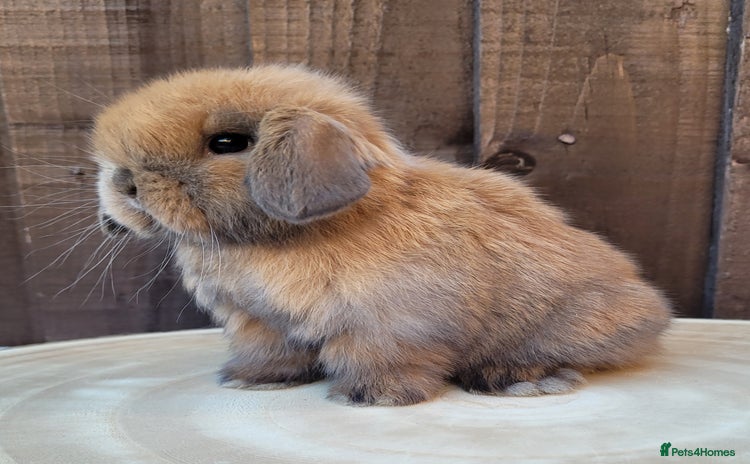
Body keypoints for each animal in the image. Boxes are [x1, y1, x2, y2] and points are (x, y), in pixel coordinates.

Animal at [93, 65, 672, 406]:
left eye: (227, 142)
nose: (125, 185)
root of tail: (651, 308)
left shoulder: (391, 322)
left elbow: (382, 359)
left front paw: (372, 398)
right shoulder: (259, 323)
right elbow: (270, 355)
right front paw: (251, 380)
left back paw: (522, 378)